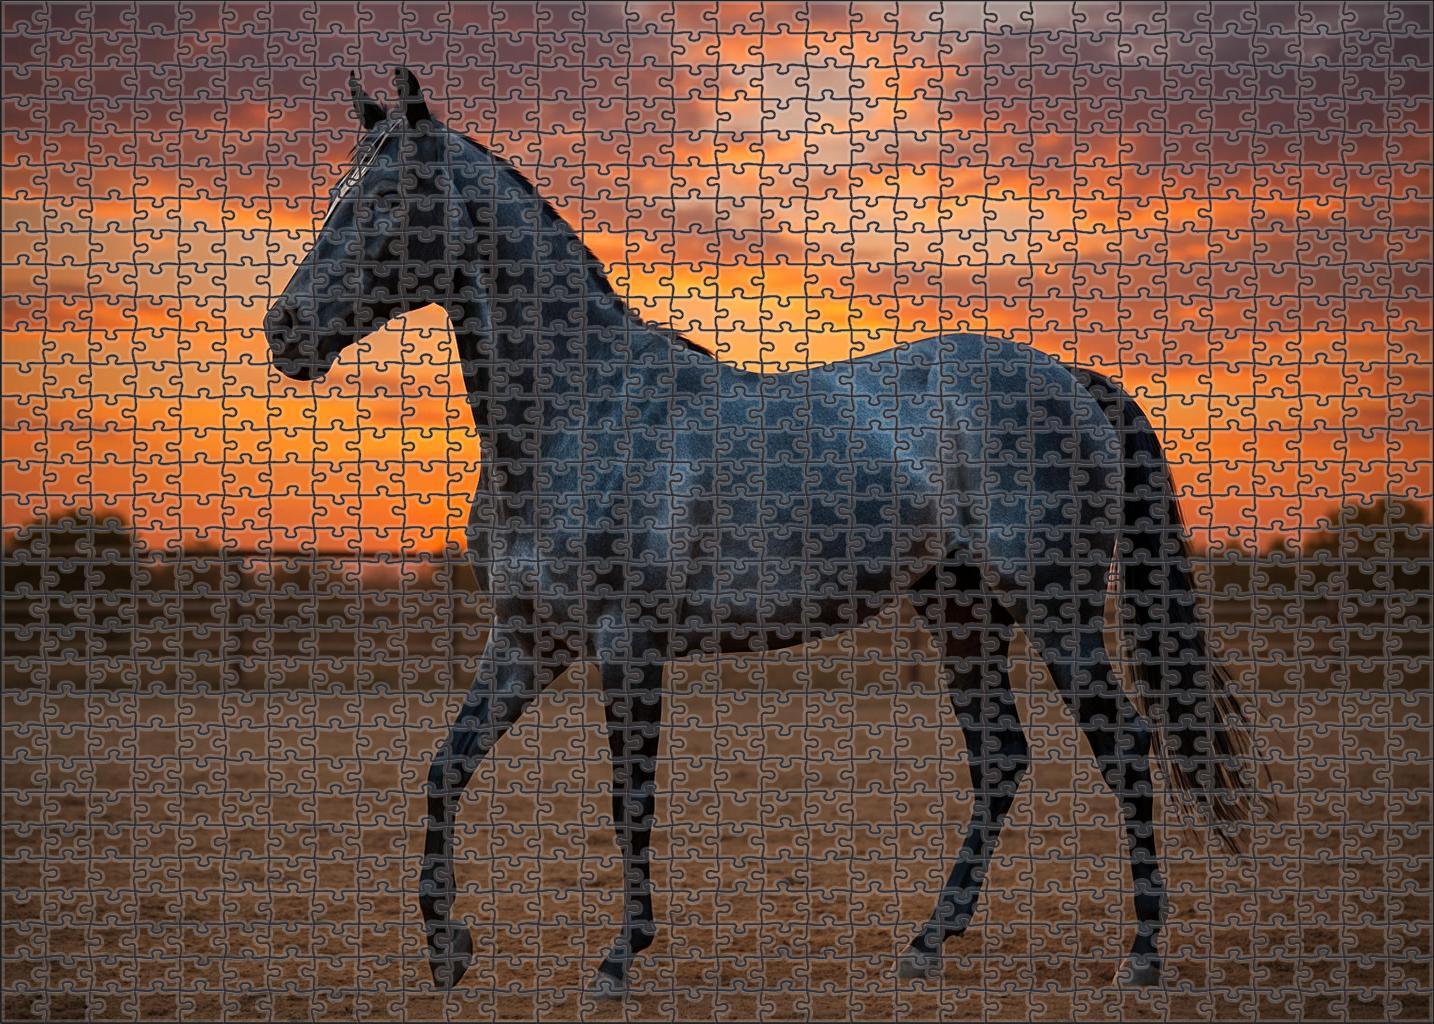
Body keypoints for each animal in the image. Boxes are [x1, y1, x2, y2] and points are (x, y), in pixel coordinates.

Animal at [265, 68, 1267, 998]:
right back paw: (926, 945)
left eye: (386, 198)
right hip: (960, 613)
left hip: (1056, 612)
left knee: (1123, 746)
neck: (581, 412)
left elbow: (630, 801)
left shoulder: (626, 645)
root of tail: (1072, 380)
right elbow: (445, 769)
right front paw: (449, 951)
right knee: (1001, 760)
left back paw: (1140, 955)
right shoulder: (527, 640)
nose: (285, 332)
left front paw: (619, 958)